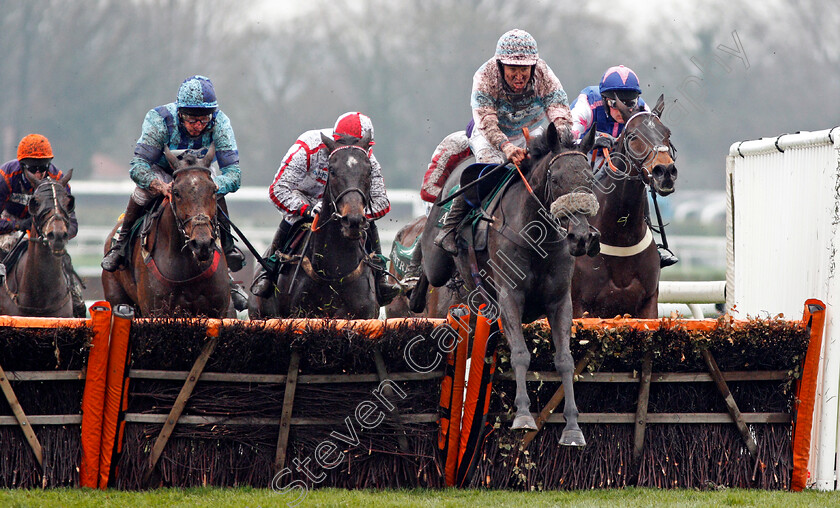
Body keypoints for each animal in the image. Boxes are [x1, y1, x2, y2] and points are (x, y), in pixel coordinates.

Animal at [102, 145, 233, 316]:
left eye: (213, 191)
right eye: (176, 192)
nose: (202, 243)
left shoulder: (217, 311)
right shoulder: (155, 310)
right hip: (116, 296)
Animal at [424, 124, 600, 444]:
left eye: (590, 178)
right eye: (555, 179)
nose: (581, 237)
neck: (537, 239)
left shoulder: (560, 301)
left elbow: (565, 359)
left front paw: (572, 427)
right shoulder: (510, 296)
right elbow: (520, 353)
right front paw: (523, 415)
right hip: (436, 262)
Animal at [572, 95, 676, 318]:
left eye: (667, 133)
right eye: (633, 136)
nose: (665, 171)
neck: (620, 235)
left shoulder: (648, 302)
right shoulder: (579, 305)